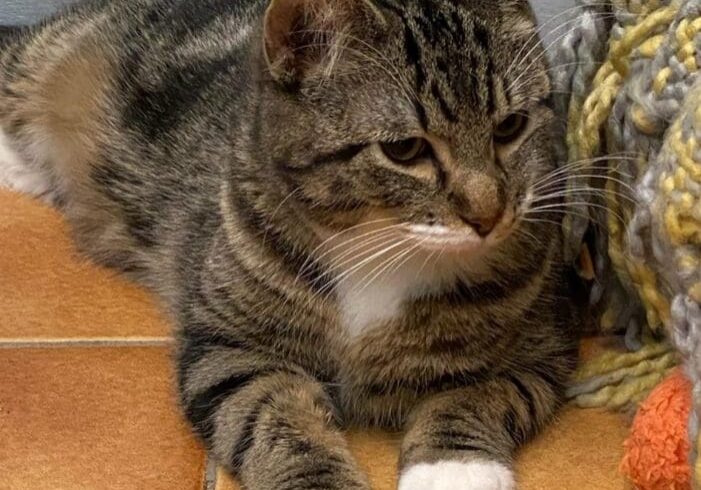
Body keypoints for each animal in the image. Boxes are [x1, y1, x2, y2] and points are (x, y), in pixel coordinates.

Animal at [0, 0, 580, 488]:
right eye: (404, 150)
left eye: (511, 126)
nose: (489, 215)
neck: (379, 247)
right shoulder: (231, 350)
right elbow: (279, 424)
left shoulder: (539, 349)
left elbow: (472, 398)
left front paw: (454, 471)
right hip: (36, 60)